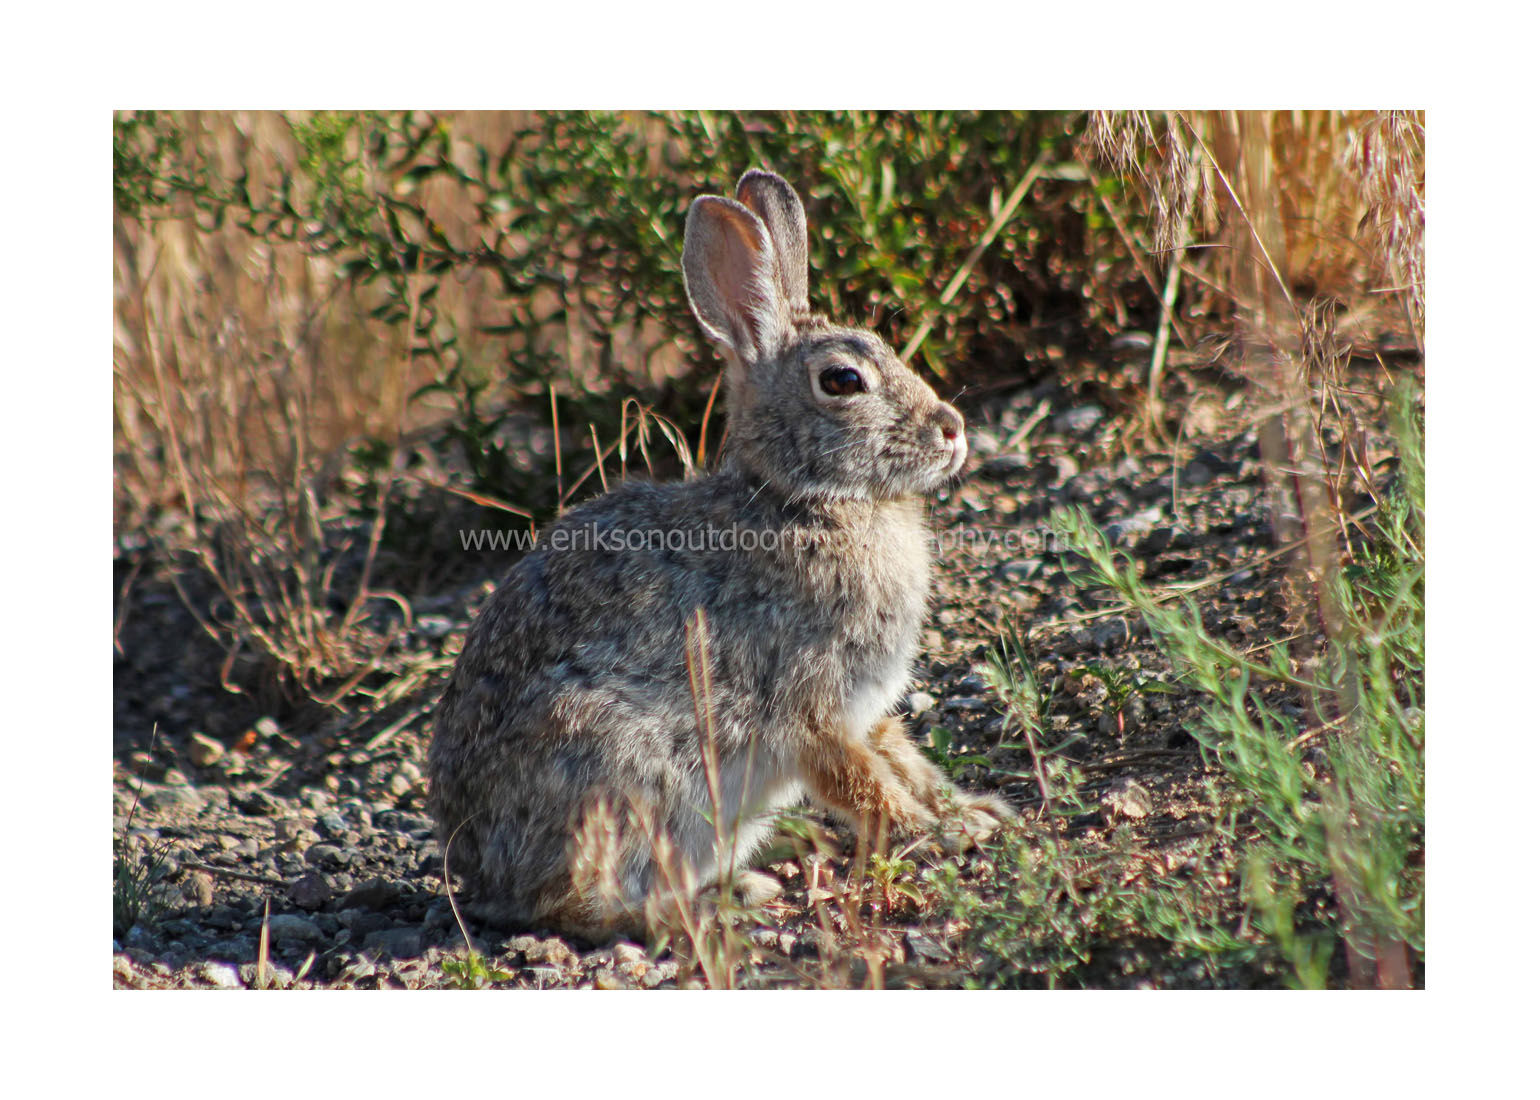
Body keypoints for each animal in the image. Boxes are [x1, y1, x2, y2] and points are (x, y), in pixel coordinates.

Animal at [428, 169, 1012, 939]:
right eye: (844, 381)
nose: (953, 429)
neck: (809, 500)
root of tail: (479, 872)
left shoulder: (866, 710)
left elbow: (903, 761)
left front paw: (974, 811)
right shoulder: (808, 708)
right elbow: (863, 786)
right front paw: (941, 833)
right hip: (615, 767)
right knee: (577, 902)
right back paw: (723, 901)